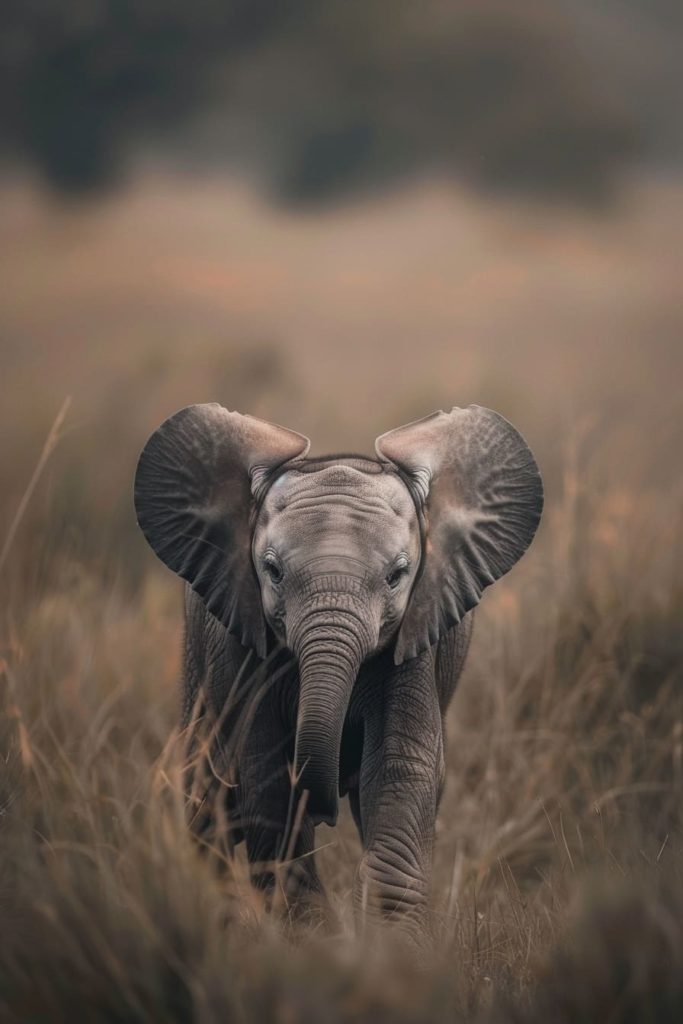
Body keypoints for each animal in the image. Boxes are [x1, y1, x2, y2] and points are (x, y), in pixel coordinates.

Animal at [135, 401, 544, 937]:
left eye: (397, 575)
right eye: (272, 571)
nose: (323, 809)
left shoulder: (414, 640)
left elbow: (399, 769)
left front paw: (389, 942)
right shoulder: (242, 650)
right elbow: (267, 777)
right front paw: (312, 936)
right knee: (207, 799)